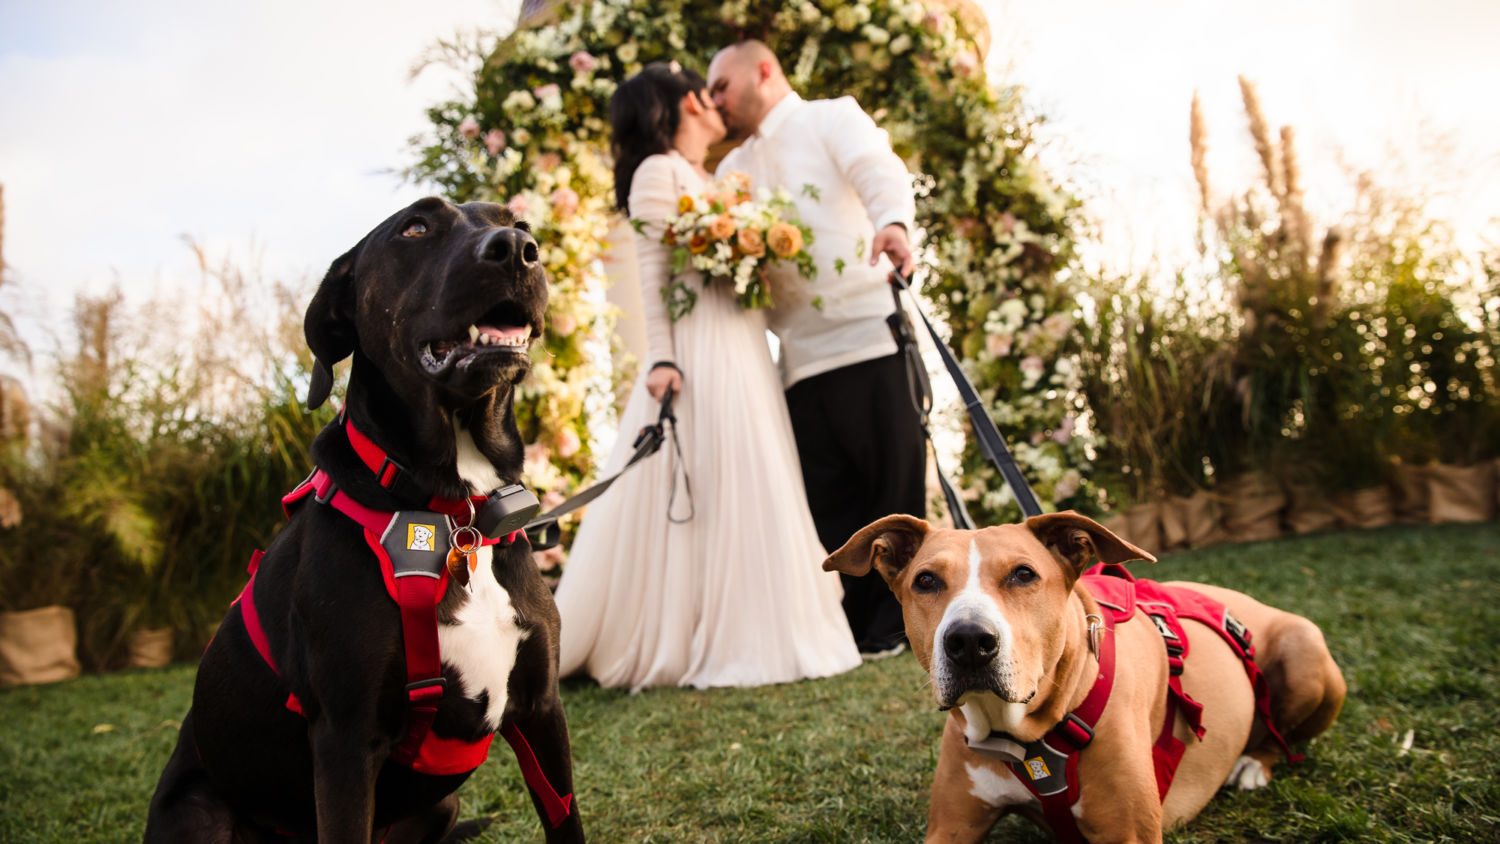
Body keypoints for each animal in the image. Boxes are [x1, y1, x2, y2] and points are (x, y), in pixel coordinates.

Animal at [141, 199, 585, 844]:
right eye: (416, 228)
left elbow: (566, 820)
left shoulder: (542, 711)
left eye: (519, 224)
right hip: (198, 813)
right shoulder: (346, 742)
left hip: (443, 806)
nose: (516, 249)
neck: (454, 514)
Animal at [822, 512, 1350, 839]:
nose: (969, 641)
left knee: (1285, 740)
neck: (1026, 735)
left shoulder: (1128, 831)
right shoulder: (951, 825)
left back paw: (1254, 763)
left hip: (1306, 649)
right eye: (926, 581)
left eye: (1023, 574)